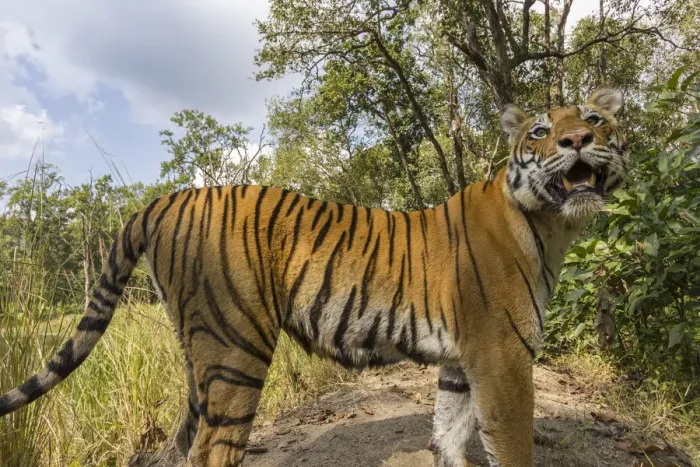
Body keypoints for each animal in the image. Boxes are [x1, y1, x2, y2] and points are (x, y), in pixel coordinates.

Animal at [0, 86, 628, 467]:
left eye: (595, 120)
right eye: (541, 132)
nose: (577, 140)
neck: (552, 226)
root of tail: (164, 198)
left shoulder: (461, 362)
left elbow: (450, 433)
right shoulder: (501, 356)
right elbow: (510, 443)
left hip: (195, 351)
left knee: (182, 442)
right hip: (237, 347)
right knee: (213, 448)